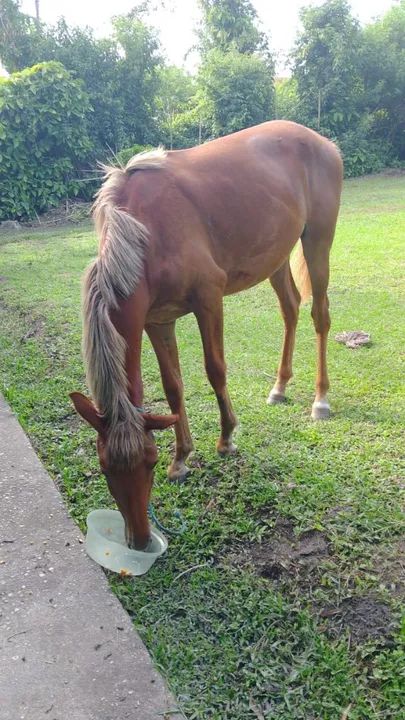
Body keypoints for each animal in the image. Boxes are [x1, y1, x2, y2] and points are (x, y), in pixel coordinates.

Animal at [70, 120, 343, 550]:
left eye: (149, 463)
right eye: (105, 468)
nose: (140, 540)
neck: (146, 232)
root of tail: (321, 141)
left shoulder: (209, 299)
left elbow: (215, 370)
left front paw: (226, 438)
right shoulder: (157, 321)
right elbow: (173, 387)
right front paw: (182, 457)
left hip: (318, 240)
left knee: (319, 315)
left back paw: (320, 399)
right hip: (277, 255)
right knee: (290, 308)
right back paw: (280, 386)